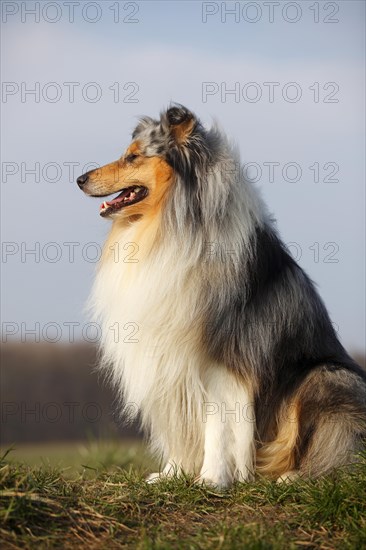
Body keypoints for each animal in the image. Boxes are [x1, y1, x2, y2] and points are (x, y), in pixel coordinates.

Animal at [76, 105, 364, 490]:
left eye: (133, 157)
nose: (80, 179)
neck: (169, 226)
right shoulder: (168, 361)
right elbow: (180, 424)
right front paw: (172, 475)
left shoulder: (225, 357)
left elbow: (219, 424)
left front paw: (212, 479)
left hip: (326, 378)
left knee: (337, 452)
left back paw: (293, 477)